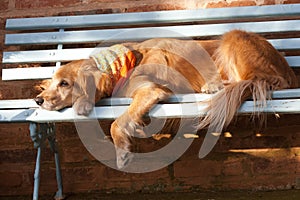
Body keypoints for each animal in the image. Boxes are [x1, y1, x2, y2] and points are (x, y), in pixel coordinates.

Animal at [34, 30, 298, 169]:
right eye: (52, 82)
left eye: (64, 84)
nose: (38, 100)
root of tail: (287, 70)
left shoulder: (150, 90)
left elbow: (116, 123)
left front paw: (122, 153)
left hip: (234, 39)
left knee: (254, 79)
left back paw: (214, 85)